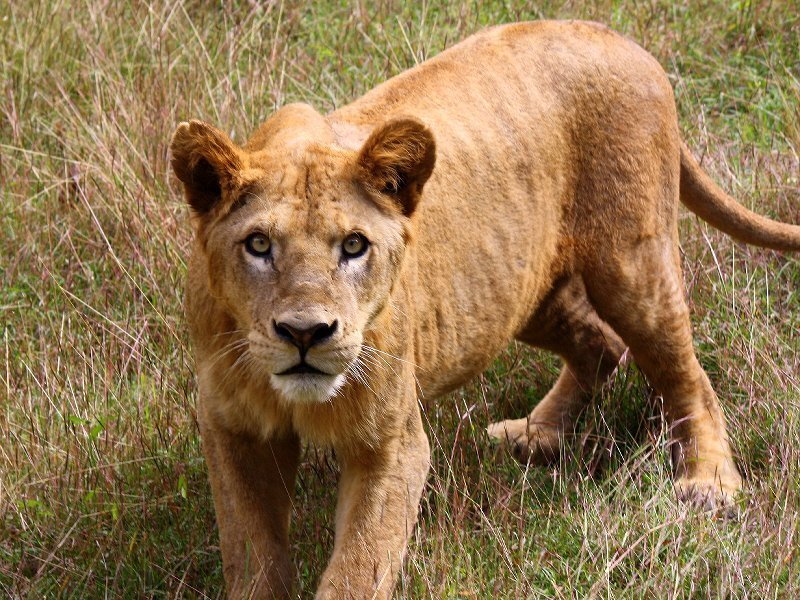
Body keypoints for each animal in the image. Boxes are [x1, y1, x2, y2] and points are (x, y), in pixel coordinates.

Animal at [169, 20, 800, 599]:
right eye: (258, 245)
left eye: (353, 245)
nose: (306, 333)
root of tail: (615, 35)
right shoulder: (232, 432)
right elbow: (254, 556)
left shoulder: (392, 445)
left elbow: (357, 568)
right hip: (514, 292)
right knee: (601, 345)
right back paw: (537, 436)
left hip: (632, 263)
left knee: (683, 373)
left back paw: (709, 483)